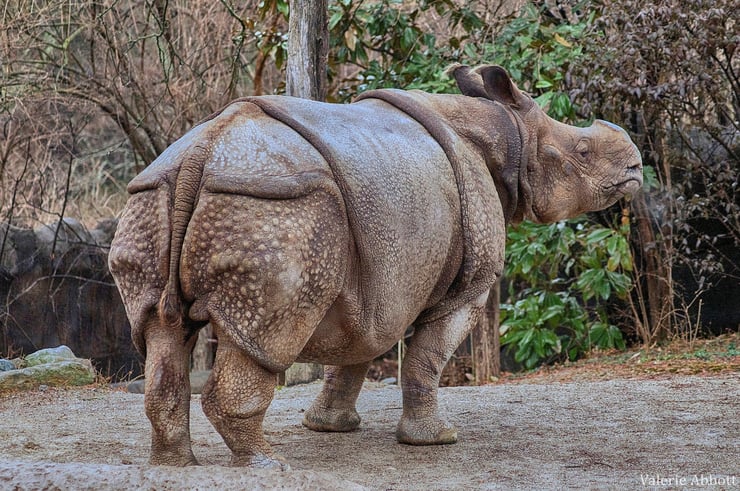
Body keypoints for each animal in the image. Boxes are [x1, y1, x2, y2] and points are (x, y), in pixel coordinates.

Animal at [108, 65, 642, 468]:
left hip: (153, 199)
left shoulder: (372, 279)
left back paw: (174, 467)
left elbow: (355, 350)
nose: (636, 168)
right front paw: (435, 440)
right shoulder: (467, 285)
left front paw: (329, 427)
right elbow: (427, 355)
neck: (510, 136)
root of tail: (201, 153)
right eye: (582, 152)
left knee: (159, 331)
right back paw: (268, 467)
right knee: (264, 338)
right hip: (278, 207)